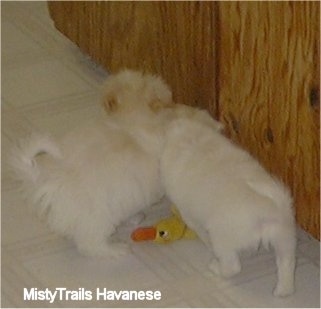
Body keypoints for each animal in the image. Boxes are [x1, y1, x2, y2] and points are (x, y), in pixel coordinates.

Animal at [160, 115, 296, 296]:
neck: (193, 140)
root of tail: (267, 206)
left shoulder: (189, 215)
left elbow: (201, 234)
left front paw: (208, 247)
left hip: (222, 237)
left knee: (232, 267)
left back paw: (215, 267)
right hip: (284, 238)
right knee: (286, 264)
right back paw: (282, 291)